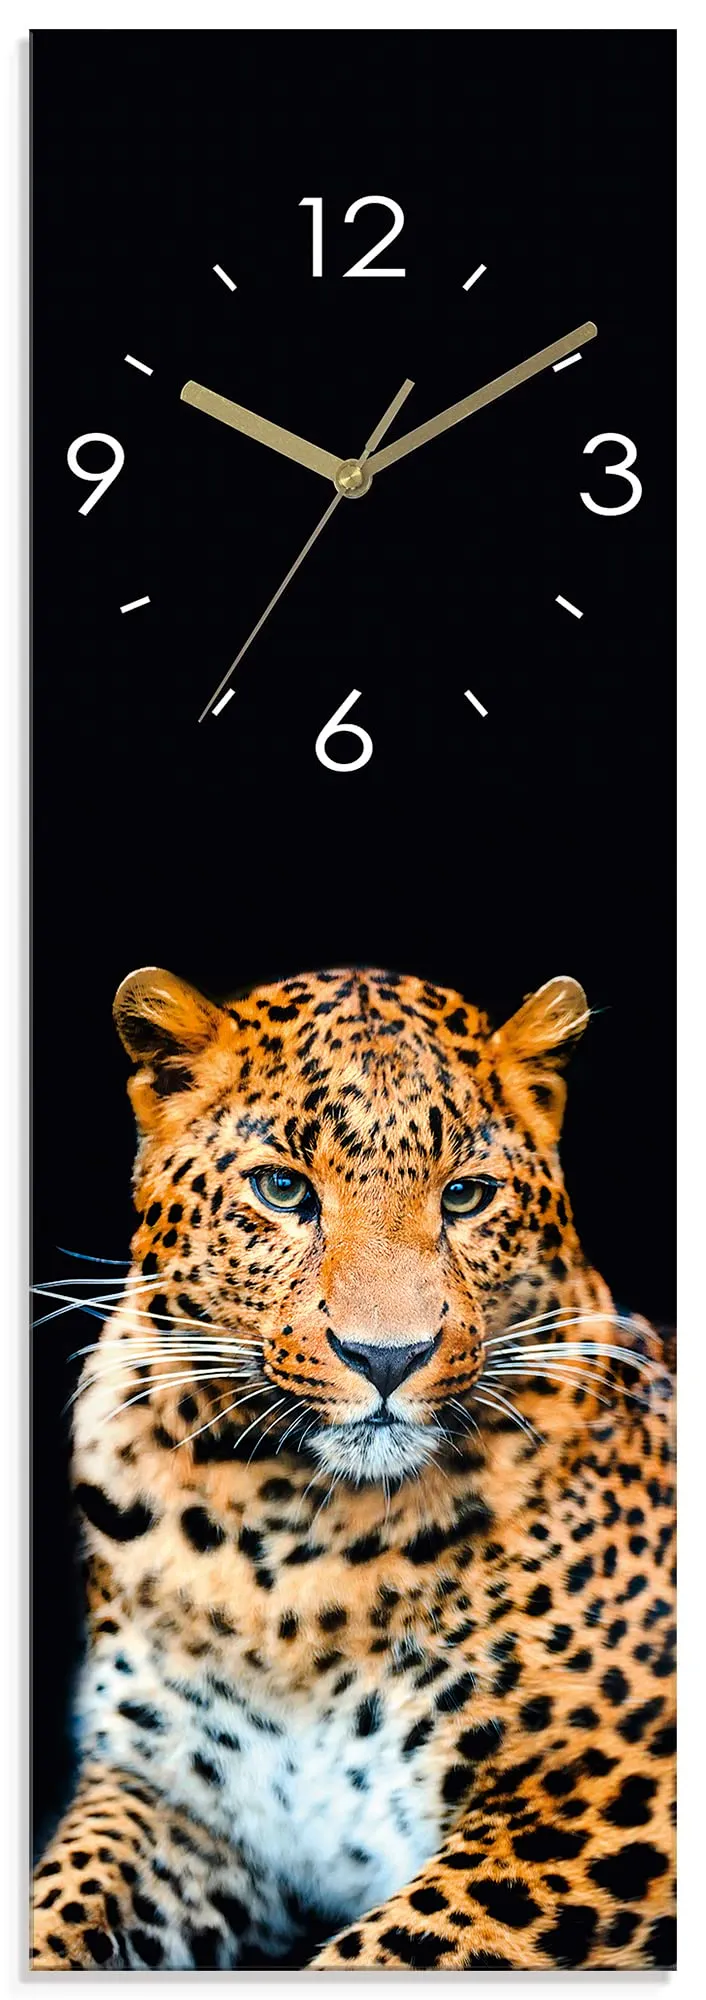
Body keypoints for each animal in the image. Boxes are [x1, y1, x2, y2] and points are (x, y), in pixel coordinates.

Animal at [31, 965, 675, 1971]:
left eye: (467, 1196)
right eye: (282, 1189)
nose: (386, 1357)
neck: (289, 1541)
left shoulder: (605, 1795)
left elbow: (395, 1947)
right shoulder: (170, 1795)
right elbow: (60, 1905)